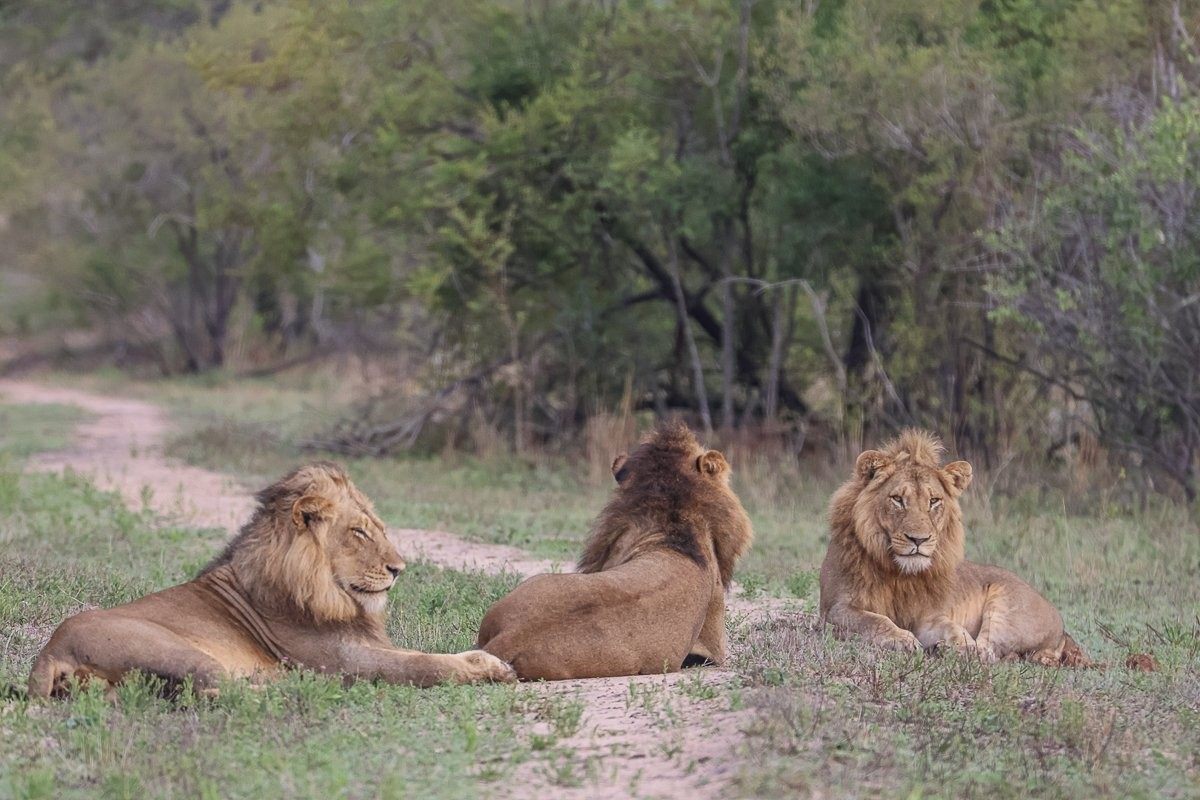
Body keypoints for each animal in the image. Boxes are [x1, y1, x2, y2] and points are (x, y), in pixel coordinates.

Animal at [28, 462, 515, 698]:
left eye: (378, 528)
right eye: (358, 532)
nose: (400, 568)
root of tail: (51, 650)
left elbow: (428, 653)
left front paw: (488, 659)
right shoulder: (346, 659)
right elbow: (424, 664)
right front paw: (490, 669)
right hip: (177, 650)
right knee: (216, 689)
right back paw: (293, 686)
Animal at [818, 430, 1087, 665]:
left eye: (933, 501)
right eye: (897, 499)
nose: (919, 540)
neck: (900, 575)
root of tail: (1063, 631)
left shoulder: (929, 617)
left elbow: (952, 628)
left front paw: (962, 646)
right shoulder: (833, 610)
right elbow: (874, 621)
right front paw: (902, 639)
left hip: (1008, 609)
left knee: (989, 651)